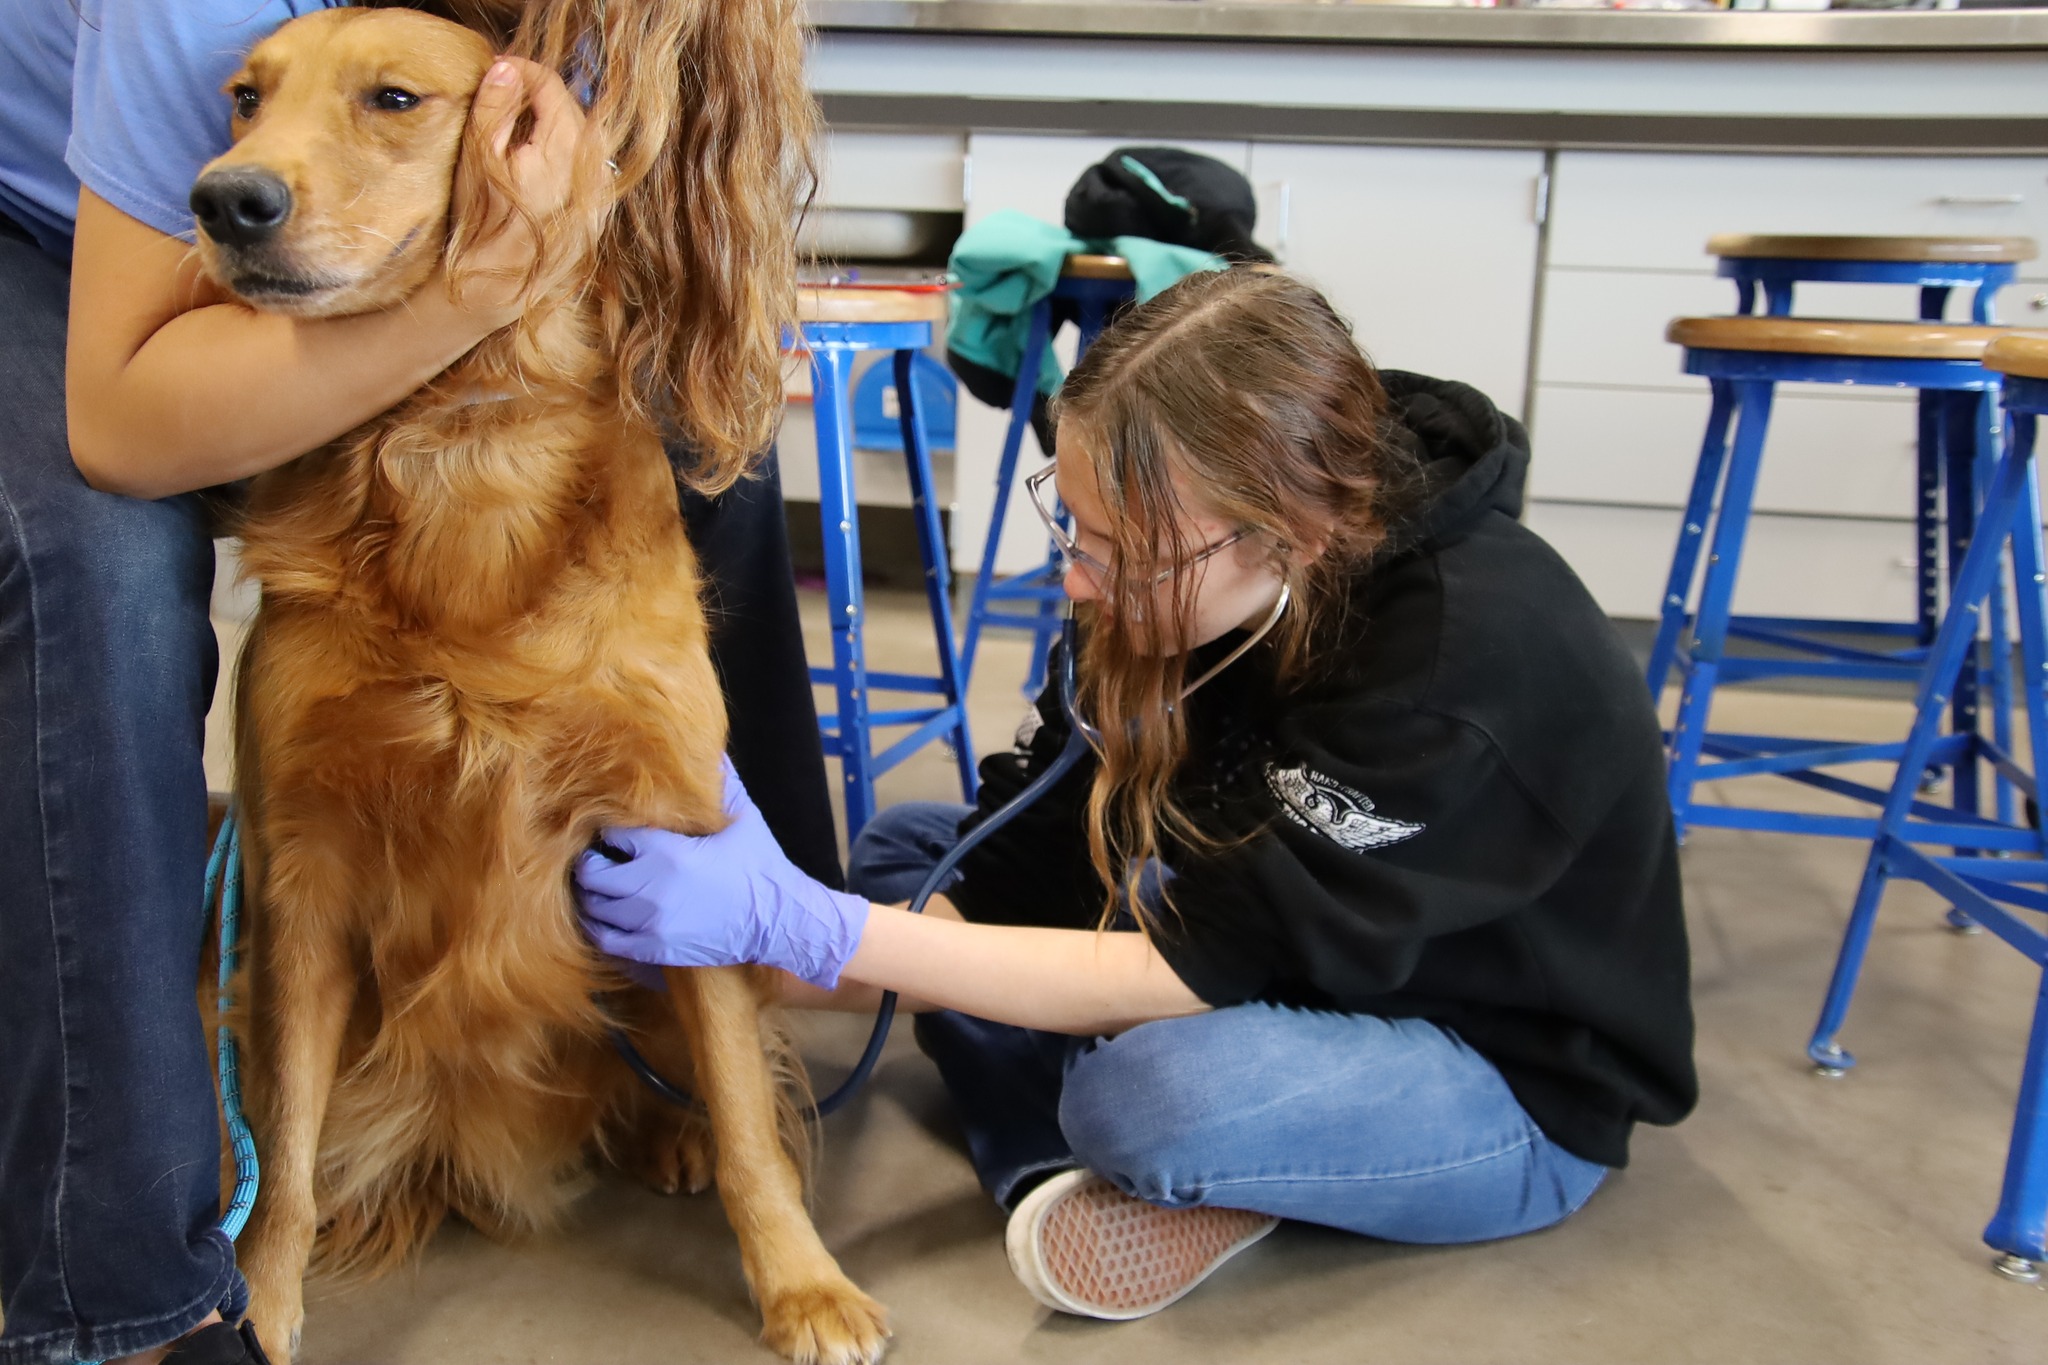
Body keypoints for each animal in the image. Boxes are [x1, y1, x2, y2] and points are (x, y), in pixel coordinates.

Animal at [192, 2, 888, 1365]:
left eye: (393, 99)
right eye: (247, 98)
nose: (222, 200)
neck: (462, 442)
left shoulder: (671, 829)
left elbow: (746, 1115)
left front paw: (801, 1284)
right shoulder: (300, 870)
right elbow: (282, 1146)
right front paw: (259, 1307)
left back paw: (670, 1133)